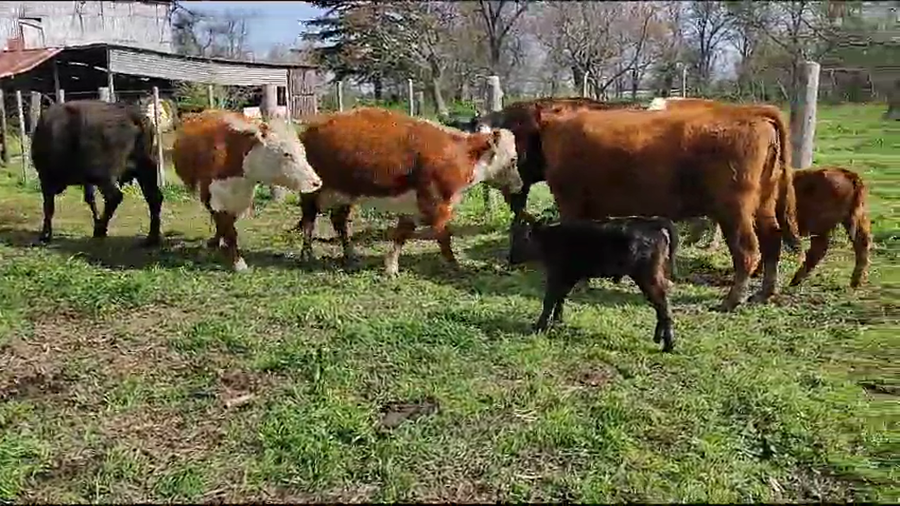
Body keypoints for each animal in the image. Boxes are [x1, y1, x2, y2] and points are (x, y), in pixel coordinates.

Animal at [31, 99, 163, 246]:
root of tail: (133, 115)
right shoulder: (86, 181)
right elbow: (90, 199)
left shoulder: (46, 178)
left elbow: (48, 207)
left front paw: (45, 235)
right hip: (145, 171)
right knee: (154, 197)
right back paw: (151, 238)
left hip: (104, 176)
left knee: (114, 197)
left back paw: (100, 230)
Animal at [172, 109, 323, 271]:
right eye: (286, 153)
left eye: (303, 152)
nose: (316, 182)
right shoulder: (213, 196)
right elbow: (228, 228)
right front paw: (238, 263)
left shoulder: (242, 199)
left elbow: (229, 225)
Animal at [295, 107, 522, 276]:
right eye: (513, 159)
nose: (520, 184)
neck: (462, 154)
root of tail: (310, 128)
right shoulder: (436, 205)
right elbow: (444, 236)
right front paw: (454, 265)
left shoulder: (413, 207)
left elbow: (401, 235)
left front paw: (391, 267)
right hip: (312, 191)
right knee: (308, 220)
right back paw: (307, 256)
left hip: (345, 194)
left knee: (339, 221)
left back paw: (350, 256)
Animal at [509, 216, 677, 352]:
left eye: (524, 239)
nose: (509, 258)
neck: (550, 238)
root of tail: (652, 223)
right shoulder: (569, 276)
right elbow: (560, 297)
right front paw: (557, 320)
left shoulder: (558, 274)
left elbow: (550, 299)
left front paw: (540, 326)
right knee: (660, 305)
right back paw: (659, 338)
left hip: (647, 276)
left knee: (662, 304)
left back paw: (668, 345)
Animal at [528, 105, 802, 312]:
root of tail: (751, 113)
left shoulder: (571, 202)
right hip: (763, 203)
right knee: (771, 241)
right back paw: (764, 293)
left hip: (734, 210)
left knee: (746, 250)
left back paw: (731, 301)